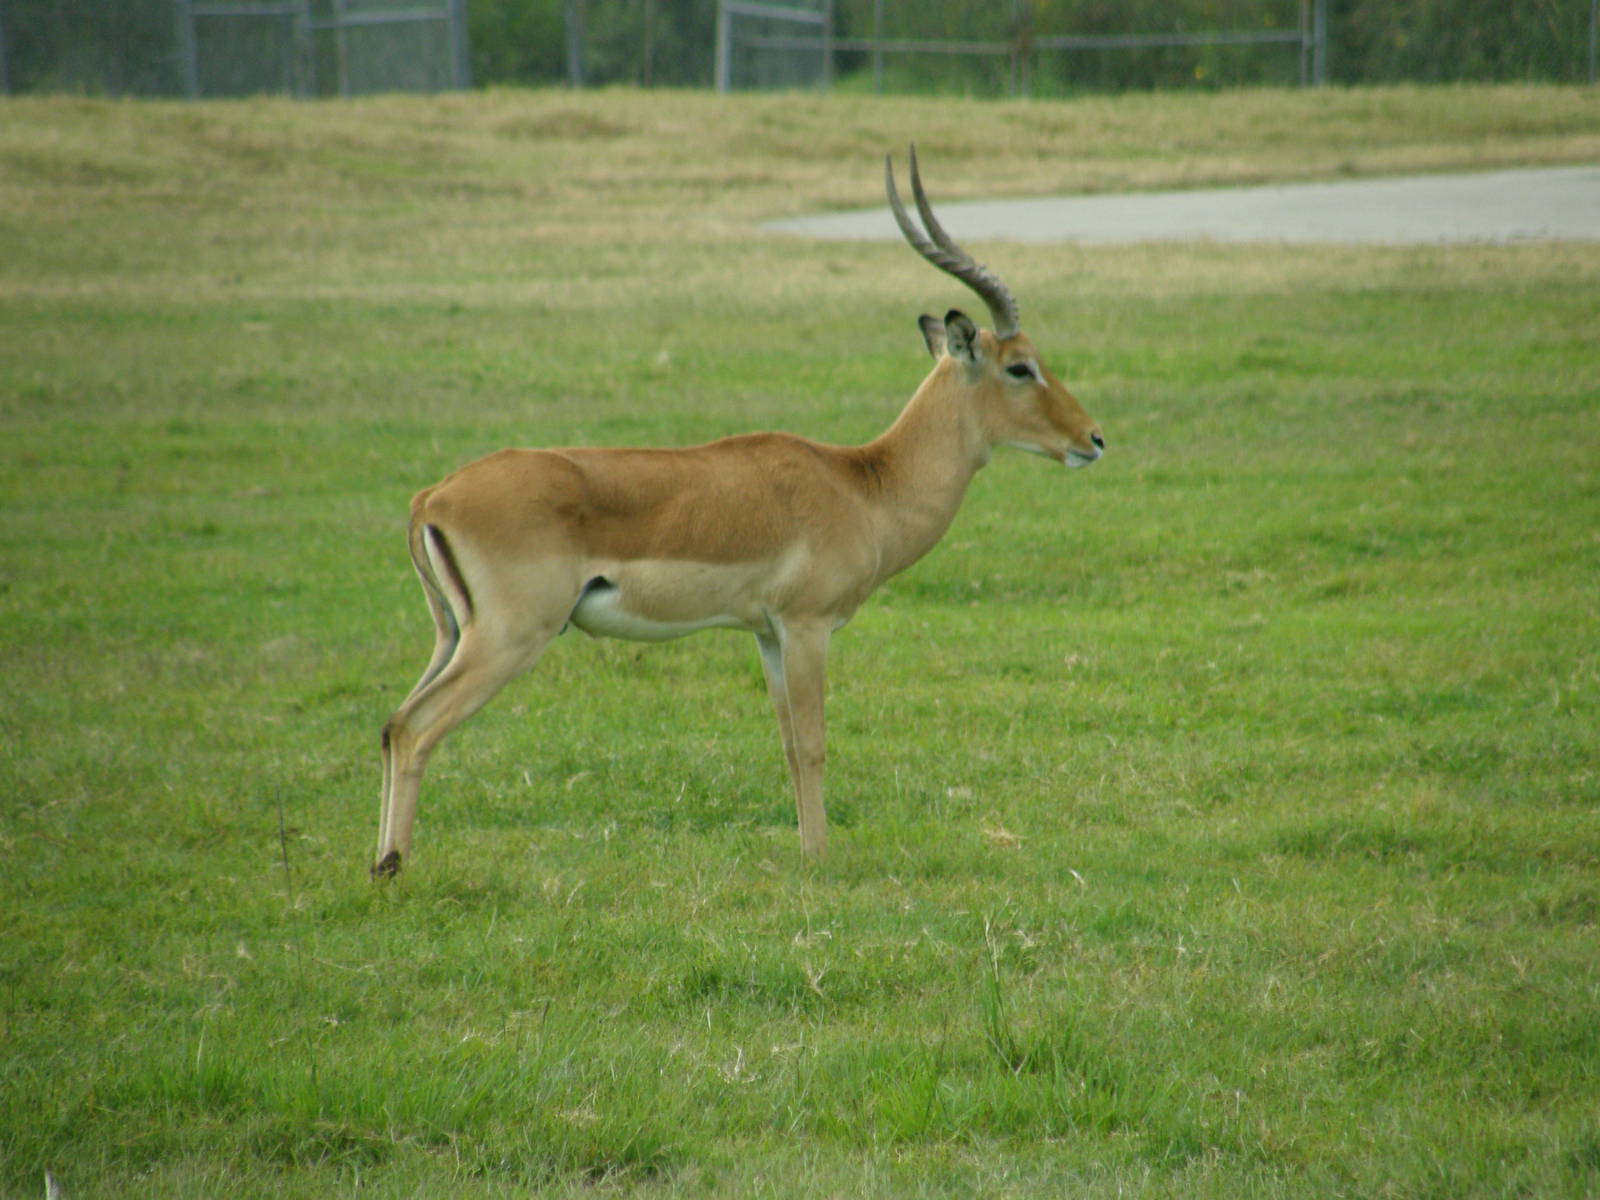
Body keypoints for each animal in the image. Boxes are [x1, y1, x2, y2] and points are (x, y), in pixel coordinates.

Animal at [373, 147, 1103, 877]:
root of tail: (432, 497)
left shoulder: (766, 634)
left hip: (453, 633)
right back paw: (391, 870)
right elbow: (813, 742)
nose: (1092, 438)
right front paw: (820, 860)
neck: (864, 485)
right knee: (414, 727)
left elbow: (786, 744)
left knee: (390, 723)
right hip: (510, 636)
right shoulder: (807, 627)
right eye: (1021, 367)